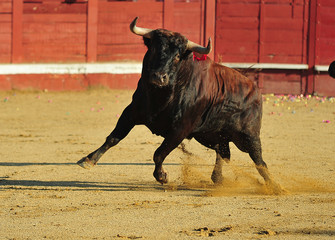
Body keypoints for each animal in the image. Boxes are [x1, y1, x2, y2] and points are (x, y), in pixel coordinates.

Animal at [77, 16, 282, 192]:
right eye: (154, 49)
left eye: (177, 57)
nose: (159, 77)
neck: (162, 96)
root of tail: (254, 88)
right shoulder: (131, 113)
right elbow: (113, 138)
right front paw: (89, 160)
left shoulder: (180, 130)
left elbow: (159, 153)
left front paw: (162, 177)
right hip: (210, 135)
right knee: (224, 153)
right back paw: (217, 178)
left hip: (248, 136)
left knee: (259, 161)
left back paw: (275, 187)